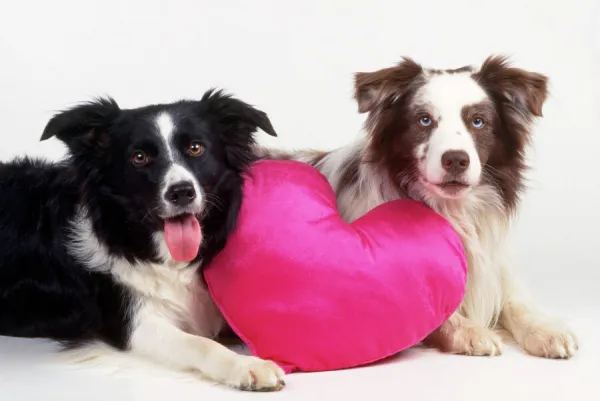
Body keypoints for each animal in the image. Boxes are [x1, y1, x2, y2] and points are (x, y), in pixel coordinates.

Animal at [0, 88, 288, 390]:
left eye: (196, 148)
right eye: (139, 157)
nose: (181, 192)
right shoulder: (134, 325)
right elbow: (199, 344)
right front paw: (246, 365)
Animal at [260, 55, 580, 356]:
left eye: (478, 121)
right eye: (424, 120)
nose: (456, 159)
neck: (451, 210)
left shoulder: (494, 265)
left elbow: (517, 302)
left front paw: (548, 330)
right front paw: (471, 331)